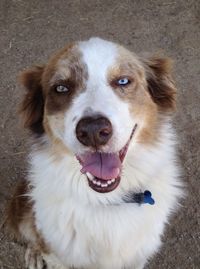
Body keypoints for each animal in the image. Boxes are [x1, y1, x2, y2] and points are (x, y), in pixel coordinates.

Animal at [7, 36, 183, 266]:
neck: (105, 201)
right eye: (61, 88)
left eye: (123, 81)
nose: (93, 131)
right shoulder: (59, 255)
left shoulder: (136, 257)